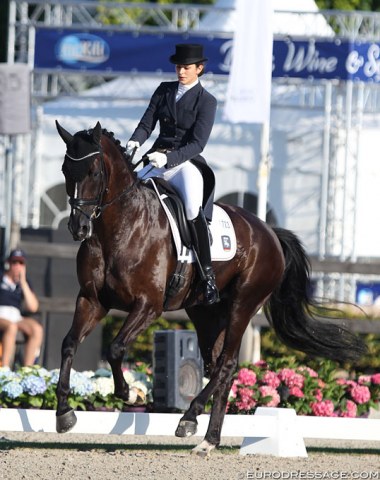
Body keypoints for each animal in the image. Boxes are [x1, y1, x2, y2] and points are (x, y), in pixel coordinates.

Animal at [54, 121, 366, 458]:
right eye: (65, 171)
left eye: (94, 172)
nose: (78, 228)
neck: (120, 227)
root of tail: (269, 232)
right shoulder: (91, 300)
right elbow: (69, 344)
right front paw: (64, 414)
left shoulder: (148, 306)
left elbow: (115, 348)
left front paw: (130, 395)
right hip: (205, 313)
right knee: (219, 366)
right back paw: (207, 439)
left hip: (243, 305)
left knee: (227, 364)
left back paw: (190, 418)